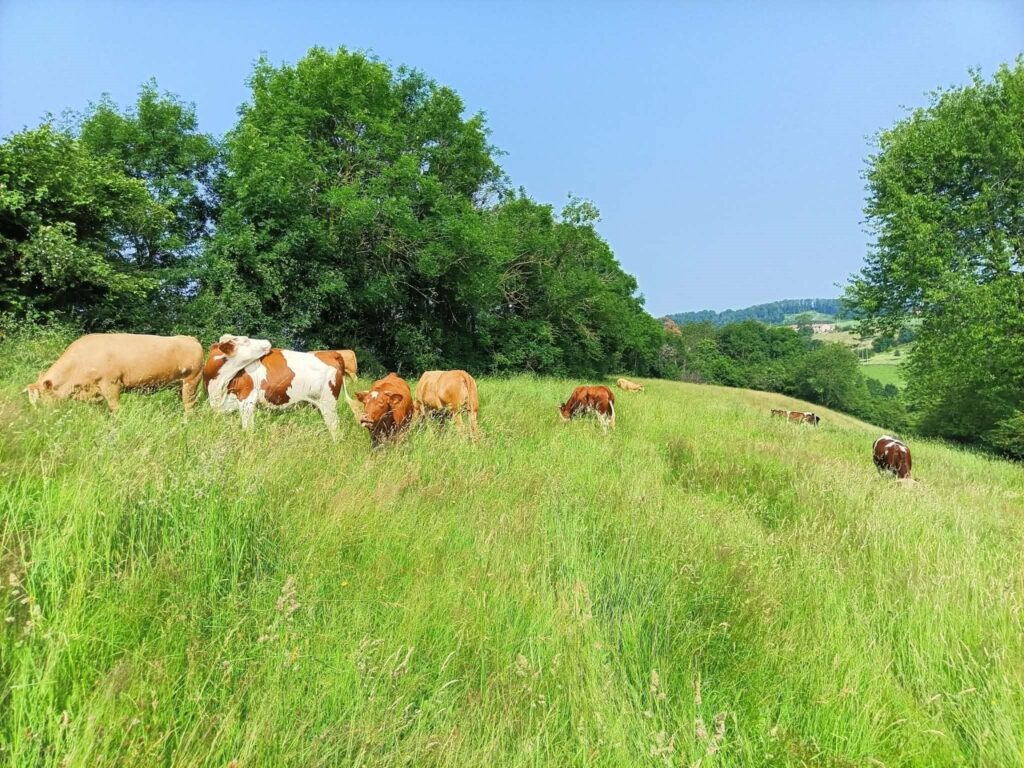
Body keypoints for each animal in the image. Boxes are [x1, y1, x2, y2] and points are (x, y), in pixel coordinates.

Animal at [25, 333, 205, 412]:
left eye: (39, 402)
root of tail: (189, 338)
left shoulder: (111, 384)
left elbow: (115, 408)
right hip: (178, 385)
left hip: (191, 381)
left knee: (189, 405)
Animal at [205, 335, 351, 439]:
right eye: (245, 340)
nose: (267, 342)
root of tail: (330, 353)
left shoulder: (247, 400)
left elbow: (248, 429)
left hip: (328, 404)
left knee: (335, 429)